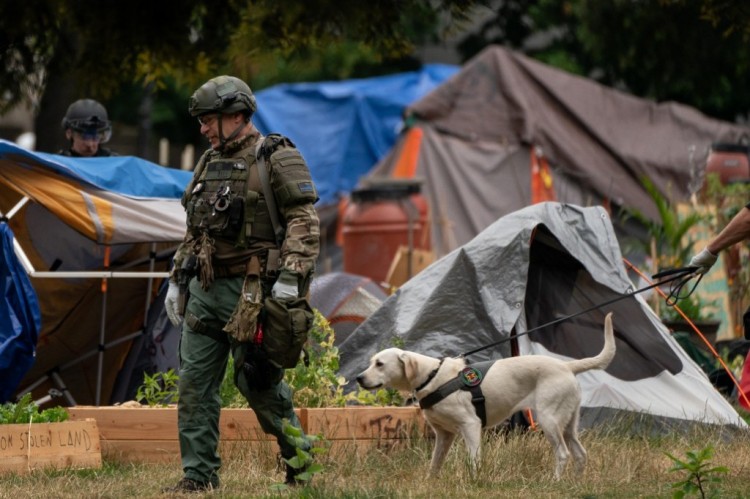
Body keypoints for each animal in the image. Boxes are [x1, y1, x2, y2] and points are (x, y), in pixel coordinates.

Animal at [358, 312, 616, 480]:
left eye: (380, 364)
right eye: (370, 362)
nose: (359, 378)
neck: (431, 376)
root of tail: (567, 366)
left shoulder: (470, 426)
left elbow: (474, 460)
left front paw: (474, 481)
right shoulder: (444, 435)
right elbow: (435, 463)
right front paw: (430, 483)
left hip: (549, 421)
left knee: (563, 454)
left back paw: (555, 482)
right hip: (568, 425)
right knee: (580, 454)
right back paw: (575, 484)